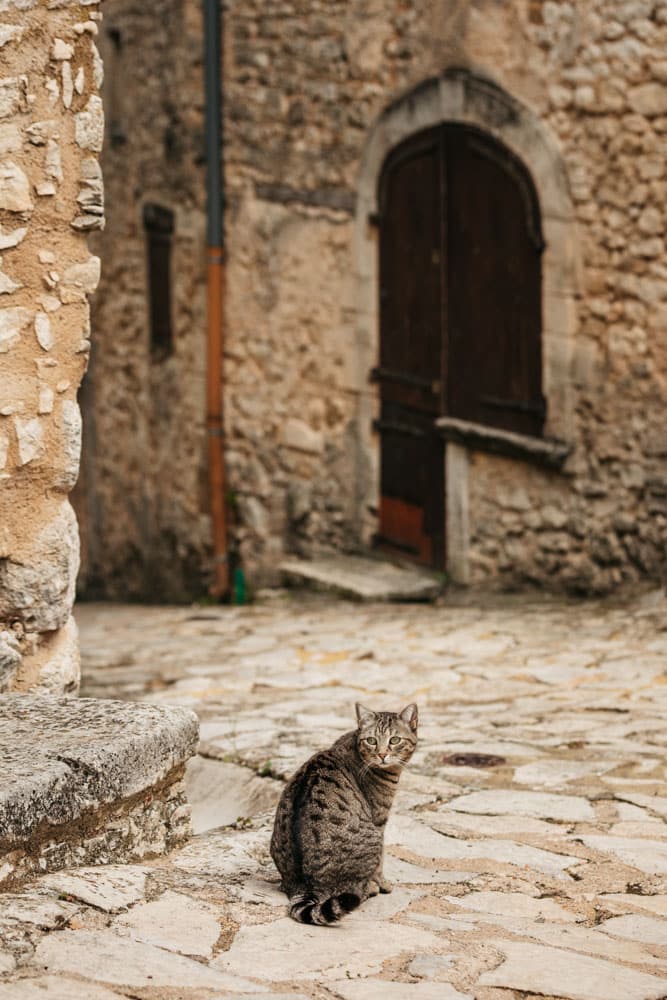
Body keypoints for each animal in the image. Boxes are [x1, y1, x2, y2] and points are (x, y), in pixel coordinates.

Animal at [270, 704, 418, 920]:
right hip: (372, 837)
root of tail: (305, 885)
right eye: (372, 741)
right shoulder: (379, 821)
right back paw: (370, 888)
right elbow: (381, 863)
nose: (382, 755)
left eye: (395, 740)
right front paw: (382, 884)